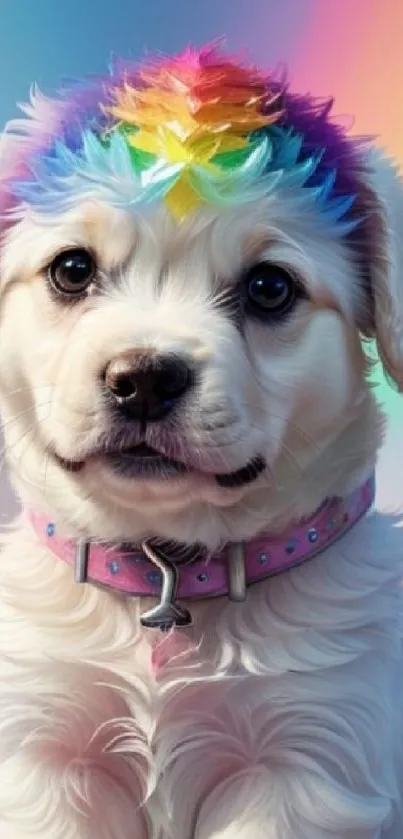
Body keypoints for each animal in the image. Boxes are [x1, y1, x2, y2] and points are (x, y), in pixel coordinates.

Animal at [0, 44, 403, 839]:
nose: (143, 379)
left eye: (270, 287)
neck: (166, 573)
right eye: (72, 268)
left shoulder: (303, 759)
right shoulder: (44, 752)